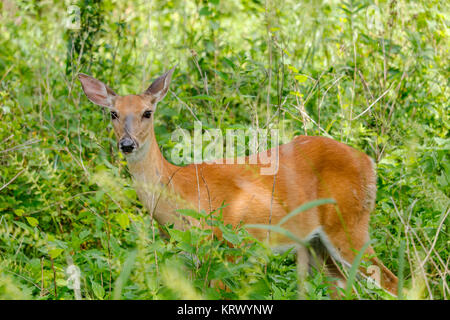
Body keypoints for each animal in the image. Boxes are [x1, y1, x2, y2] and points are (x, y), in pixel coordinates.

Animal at [78, 66, 398, 298]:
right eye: (113, 113)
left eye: (147, 112)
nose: (127, 144)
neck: (177, 188)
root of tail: (369, 163)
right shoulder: (187, 254)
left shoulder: (226, 243)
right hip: (318, 243)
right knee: (343, 286)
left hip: (349, 224)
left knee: (391, 280)